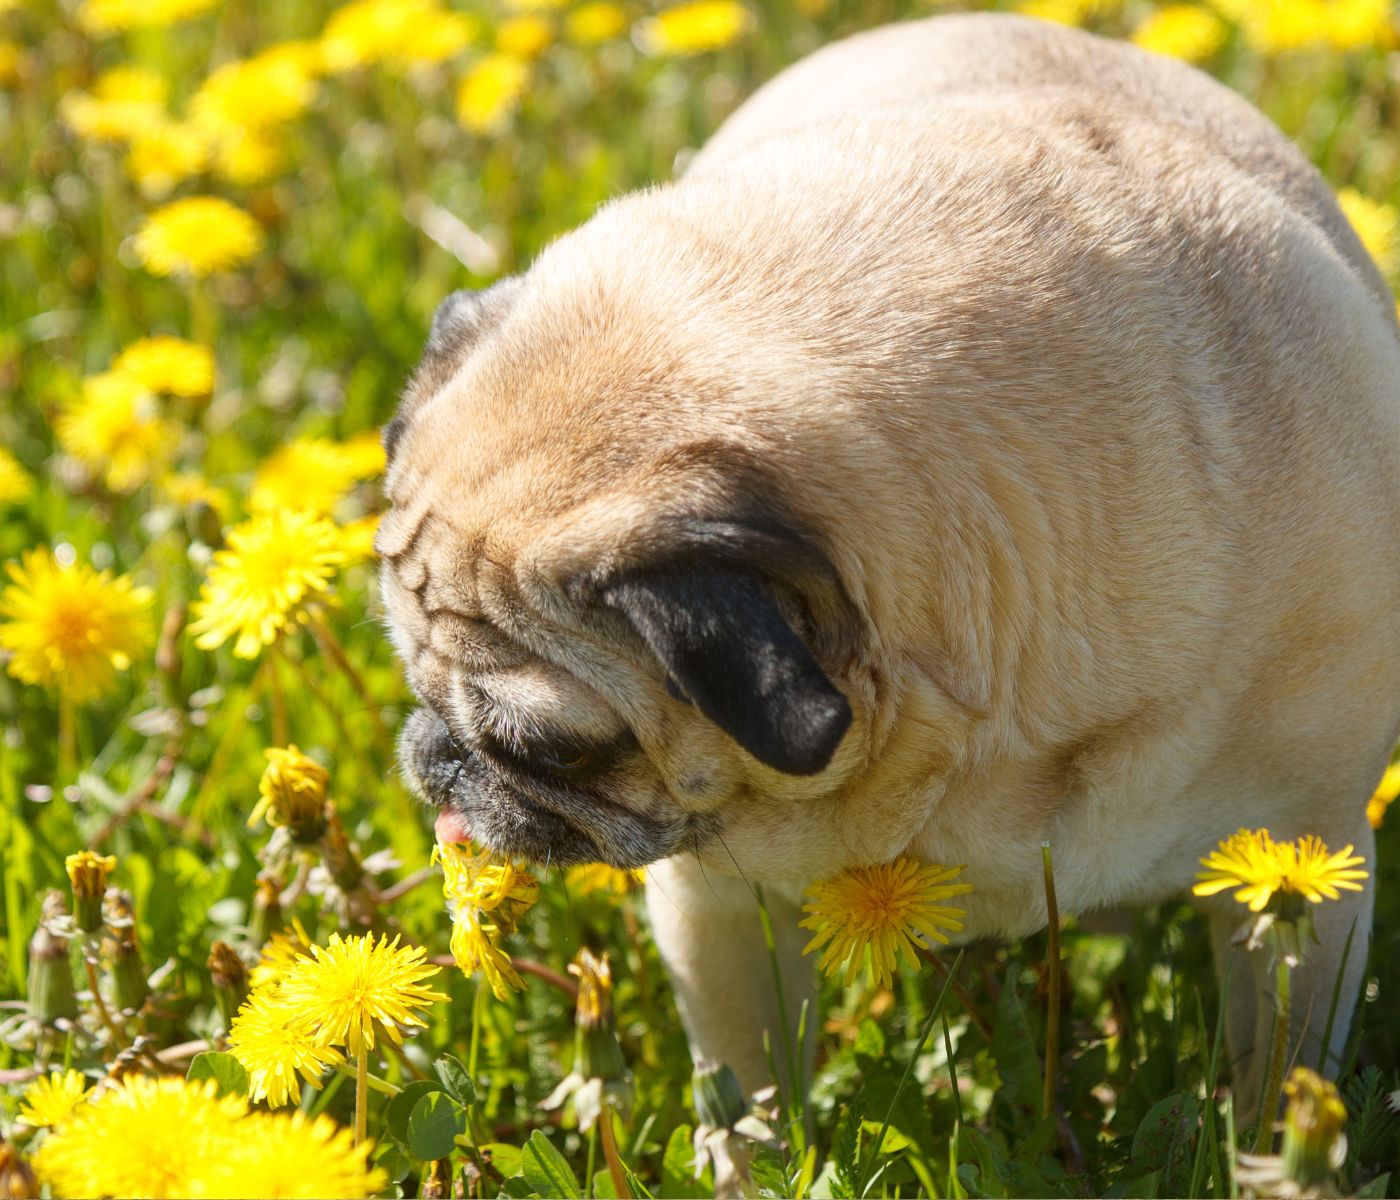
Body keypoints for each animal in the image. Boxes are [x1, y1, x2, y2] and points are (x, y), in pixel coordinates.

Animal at [380, 9, 1400, 1114]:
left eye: (550, 750)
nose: (436, 755)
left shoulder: (1302, 862)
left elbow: (1280, 1067)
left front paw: (1280, 1137)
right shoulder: (716, 903)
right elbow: (749, 1073)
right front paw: (757, 1144)